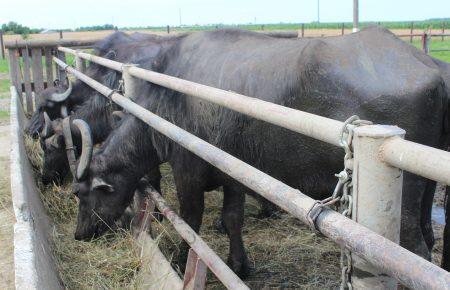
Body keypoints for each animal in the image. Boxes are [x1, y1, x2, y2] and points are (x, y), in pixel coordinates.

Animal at [72, 26, 448, 276]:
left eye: (83, 193)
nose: (80, 234)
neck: (167, 103)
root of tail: (432, 69)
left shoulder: (187, 171)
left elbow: (190, 221)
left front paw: (180, 259)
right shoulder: (235, 173)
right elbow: (232, 219)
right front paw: (239, 265)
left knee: (414, 251)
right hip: (425, 189)